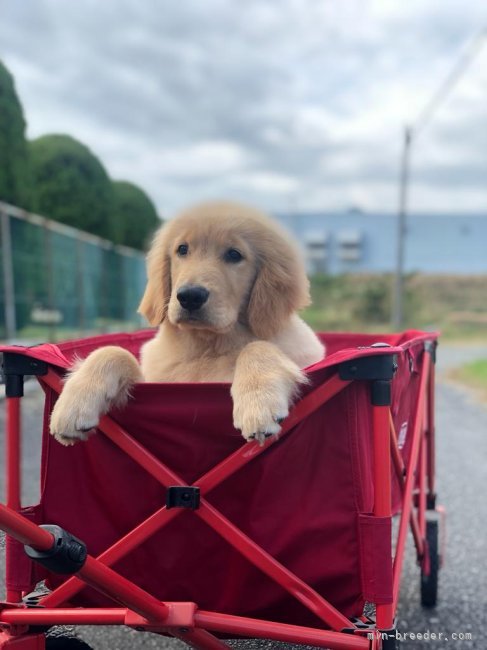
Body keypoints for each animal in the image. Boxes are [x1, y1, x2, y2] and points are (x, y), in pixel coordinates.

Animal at [49, 201, 326, 446]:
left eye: (234, 254)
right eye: (182, 249)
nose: (190, 296)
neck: (205, 346)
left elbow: (257, 346)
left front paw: (258, 402)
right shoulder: (153, 380)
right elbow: (113, 351)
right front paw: (74, 403)